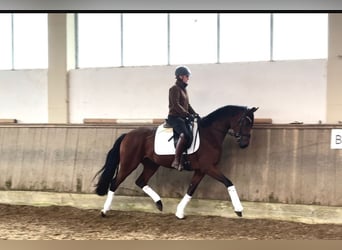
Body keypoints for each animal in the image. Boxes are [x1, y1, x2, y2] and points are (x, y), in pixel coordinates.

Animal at [95, 105, 258, 219]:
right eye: (245, 122)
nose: (244, 144)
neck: (210, 134)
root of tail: (128, 134)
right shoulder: (208, 167)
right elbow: (228, 182)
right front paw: (239, 210)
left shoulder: (201, 170)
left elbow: (191, 190)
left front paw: (179, 212)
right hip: (129, 163)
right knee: (114, 183)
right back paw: (104, 211)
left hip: (151, 164)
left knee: (140, 181)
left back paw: (159, 203)